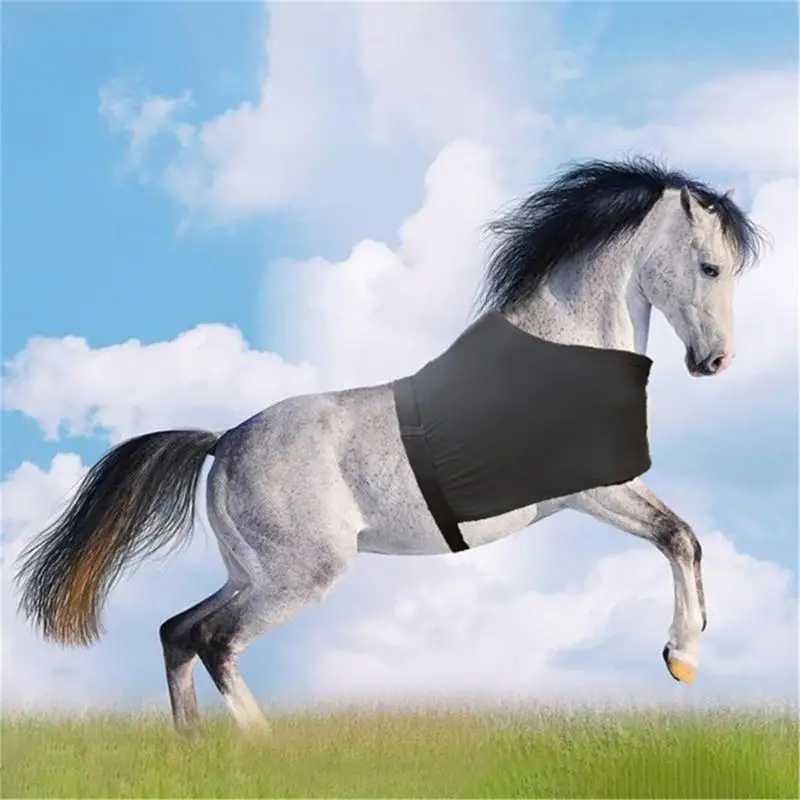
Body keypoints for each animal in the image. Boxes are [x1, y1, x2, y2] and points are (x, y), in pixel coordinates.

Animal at [16, 158, 764, 733]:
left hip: (252, 571)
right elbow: (678, 536)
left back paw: (192, 747)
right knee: (215, 641)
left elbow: (684, 537)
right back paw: (263, 749)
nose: (715, 362)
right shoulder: (593, 488)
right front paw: (682, 656)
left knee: (177, 630)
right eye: (709, 268)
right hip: (299, 576)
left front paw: (687, 652)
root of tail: (223, 443)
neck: (567, 349)